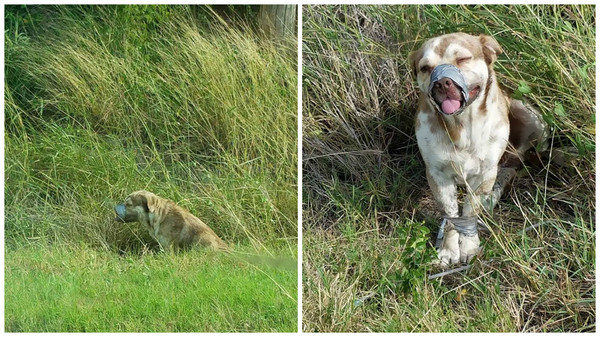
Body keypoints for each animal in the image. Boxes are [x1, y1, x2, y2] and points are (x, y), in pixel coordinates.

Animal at [410, 32, 548, 266]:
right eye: (425, 68)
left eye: (463, 59)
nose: (442, 82)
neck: (462, 126)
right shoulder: (438, 175)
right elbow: (451, 215)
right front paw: (448, 249)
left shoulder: (484, 173)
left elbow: (469, 211)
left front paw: (469, 246)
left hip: (530, 117)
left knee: (513, 166)